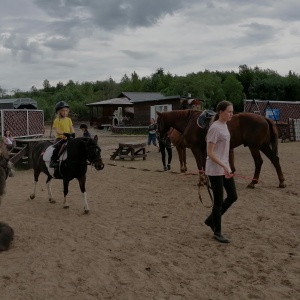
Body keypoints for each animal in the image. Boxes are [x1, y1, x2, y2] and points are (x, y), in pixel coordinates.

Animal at [157, 110, 286, 189]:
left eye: (158, 122)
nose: (159, 136)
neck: (189, 121)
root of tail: (265, 118)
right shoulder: (204, 149)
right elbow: (204, 164)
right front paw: (207, 180)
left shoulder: (196, 148)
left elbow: (199, 165)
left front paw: (201, 181)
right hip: (263, 146)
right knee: (275, 159)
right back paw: (281, 182)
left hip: (254, 147)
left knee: (259, 162)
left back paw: (253, 182)